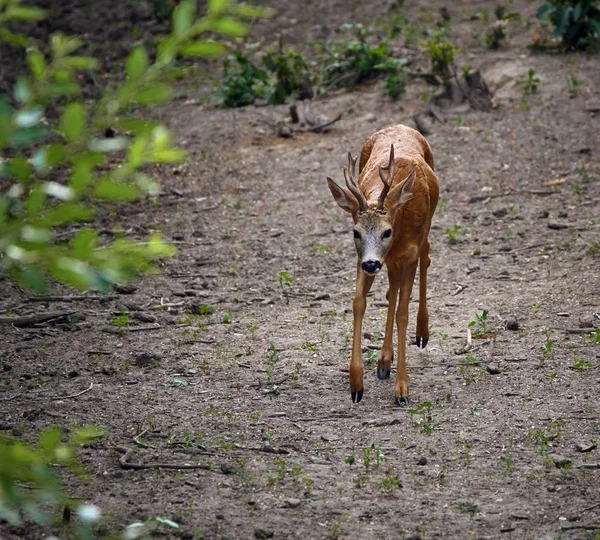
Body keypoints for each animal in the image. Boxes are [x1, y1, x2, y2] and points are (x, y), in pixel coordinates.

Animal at [326, 125, 438, 404]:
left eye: (386, 231)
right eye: (355, 232)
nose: (371, 264)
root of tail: (402, 126)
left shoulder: (408, 253)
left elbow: (402, 313)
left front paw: (402, 390)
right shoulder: (365, 257)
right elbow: (359, 303)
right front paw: (356, 383)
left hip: (425, 231)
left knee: (426, 256)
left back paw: (422, 332)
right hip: (388, 261)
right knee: (392, 289)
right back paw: (384, 361)